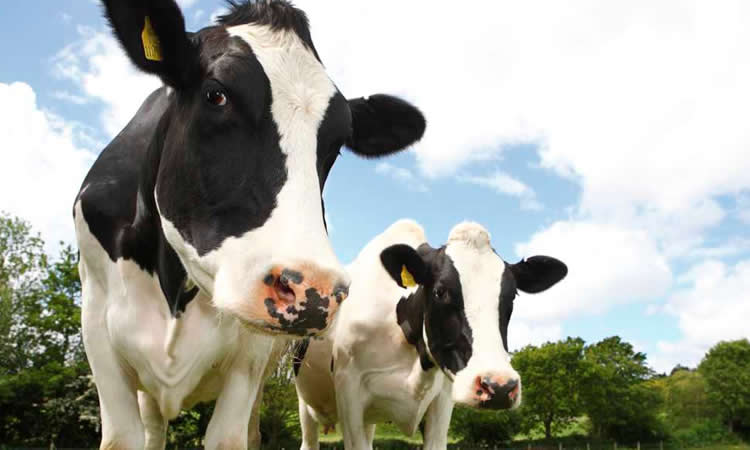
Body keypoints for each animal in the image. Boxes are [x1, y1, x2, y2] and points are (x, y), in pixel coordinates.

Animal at [73, 1, 426, 448]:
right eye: (216, 94)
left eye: (336, 142)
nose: (314, 291)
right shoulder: (96, 323)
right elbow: (123, 437)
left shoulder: (251, 354)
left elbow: (229, 436)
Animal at [294, 220, 568, 450]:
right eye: (440, 291)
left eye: (512, 296)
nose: (499, 386)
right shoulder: (348, 390)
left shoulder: (443, 398)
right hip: (305, 405)